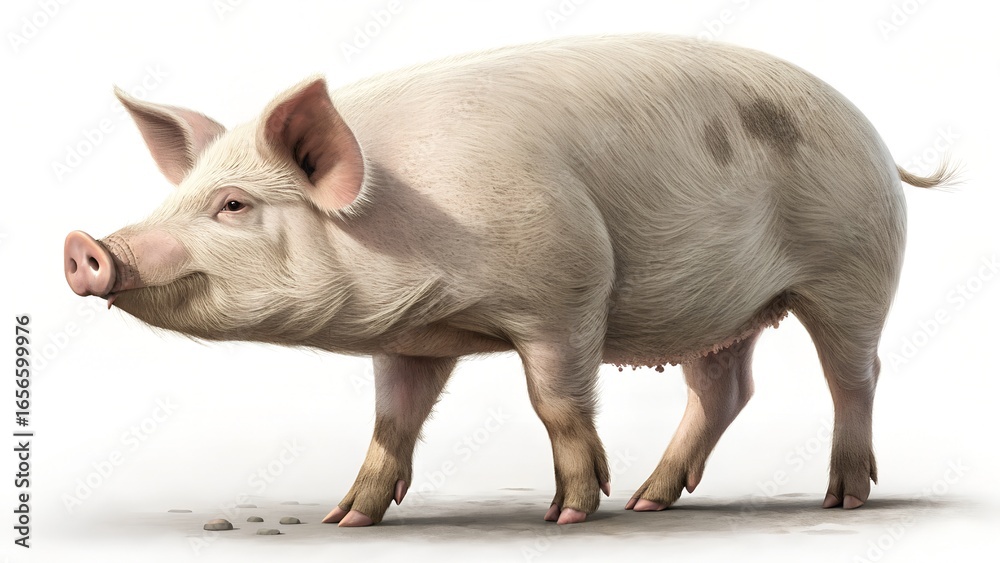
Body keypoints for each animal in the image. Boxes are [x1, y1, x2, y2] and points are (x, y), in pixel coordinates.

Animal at [64, 35, 953, 526]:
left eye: (234, 204)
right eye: (175, 196)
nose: (84, 245)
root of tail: (877, 138)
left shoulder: (568, 289)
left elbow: (555, 402)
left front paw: (567, 512)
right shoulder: (410, 340)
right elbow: (391, 423)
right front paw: (345, 517)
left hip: (854, 269)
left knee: (855, 373)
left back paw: (841, 497)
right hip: (722, 308)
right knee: (726, 387)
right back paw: (651, 498)